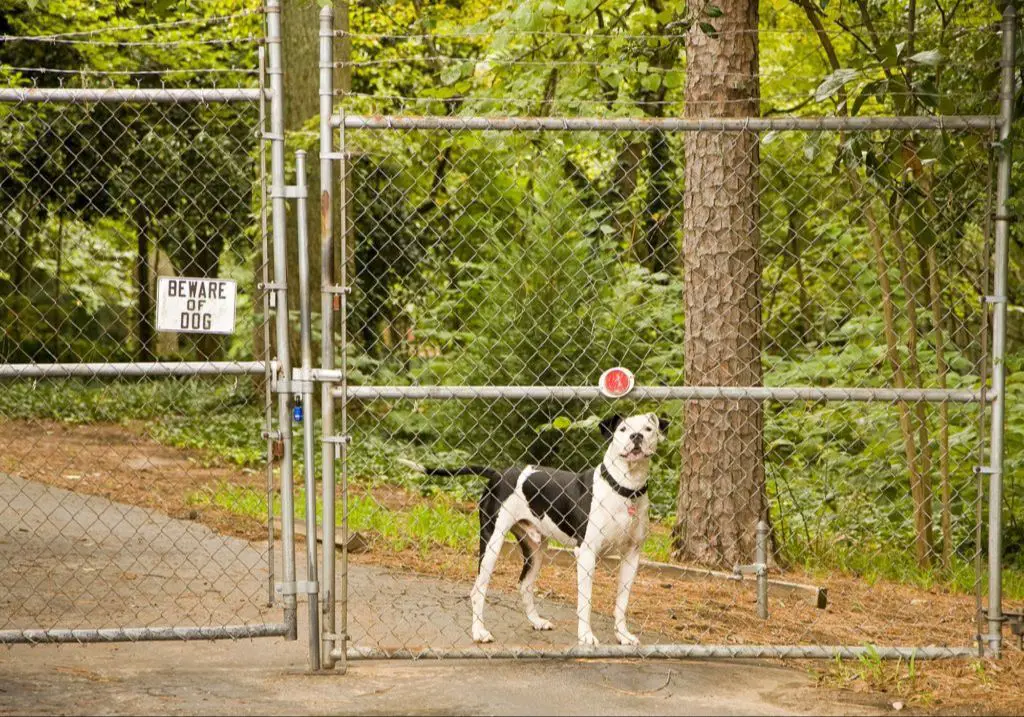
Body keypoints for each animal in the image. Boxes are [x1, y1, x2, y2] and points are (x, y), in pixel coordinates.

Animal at [395, 411, 667, 647]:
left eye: (648, 429)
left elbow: (622, 601)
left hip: (535, 548)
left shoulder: (632, 555)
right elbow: (585, 600)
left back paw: (536, 621)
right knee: (478, 589)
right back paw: (479, 632)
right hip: (492, 541)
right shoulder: (587, 553)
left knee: (524, 585)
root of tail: (498, 474)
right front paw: (586, 636)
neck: (625, 489)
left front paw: (623, 635)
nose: (636, 437)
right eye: (622, 429)